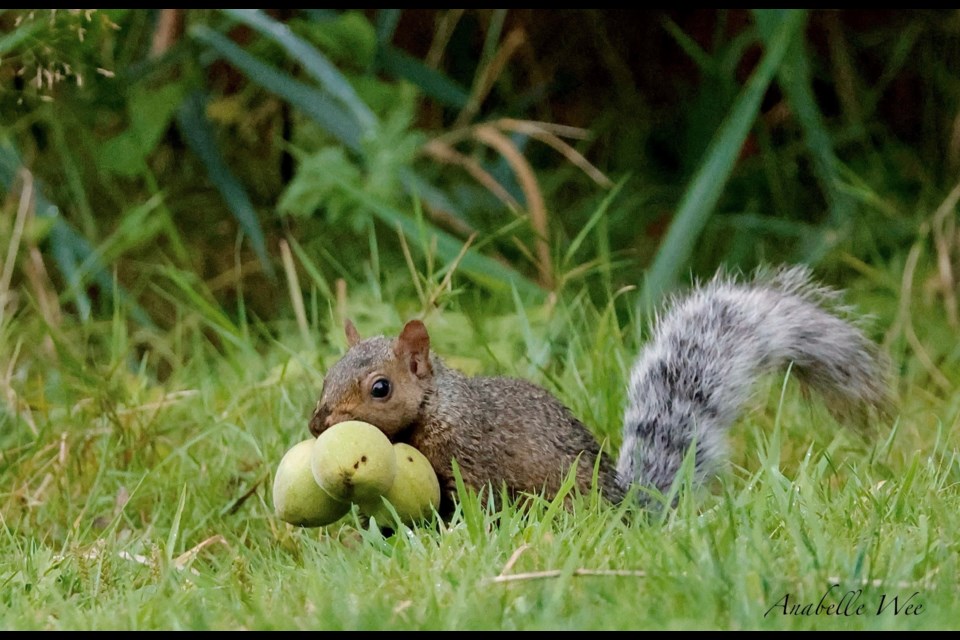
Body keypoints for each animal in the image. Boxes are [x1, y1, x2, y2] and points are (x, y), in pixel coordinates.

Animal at [308, 264, 892, 516]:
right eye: (327, 374)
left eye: (380, 388)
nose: (317, 425)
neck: (438, 407)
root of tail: (626, 512)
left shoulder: (471, 456)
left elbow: (477, 504)